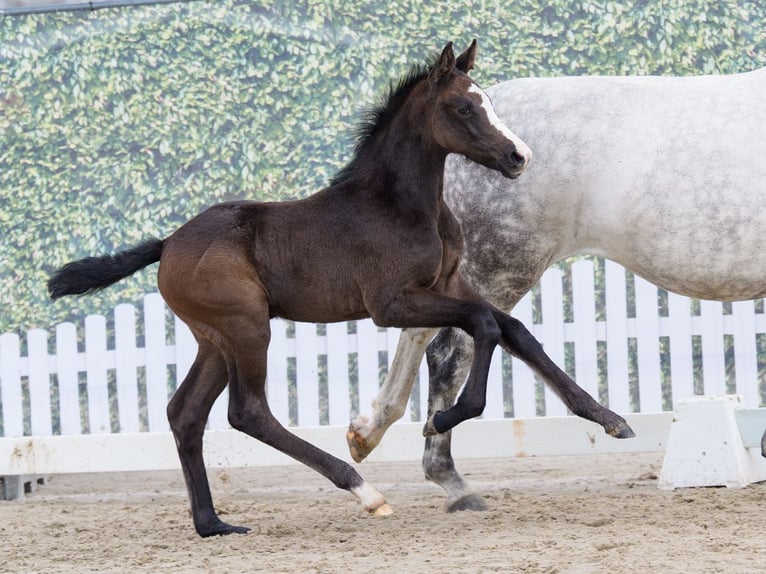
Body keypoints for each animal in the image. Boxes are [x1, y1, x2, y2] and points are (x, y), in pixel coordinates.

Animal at [47, 40, 634, 537]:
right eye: (464, 108)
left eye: (486, 101)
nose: (518, 158)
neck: (401, 205)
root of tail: (168, 242)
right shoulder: (392, 304)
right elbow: (485, 325)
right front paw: (442, 418)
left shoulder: (452, 283)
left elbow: (515, 331)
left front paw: (611, 421)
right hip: (246, 327)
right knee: (247, 412)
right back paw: (365, 491)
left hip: (214, 338)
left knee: (185, 414)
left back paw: (213, 524)